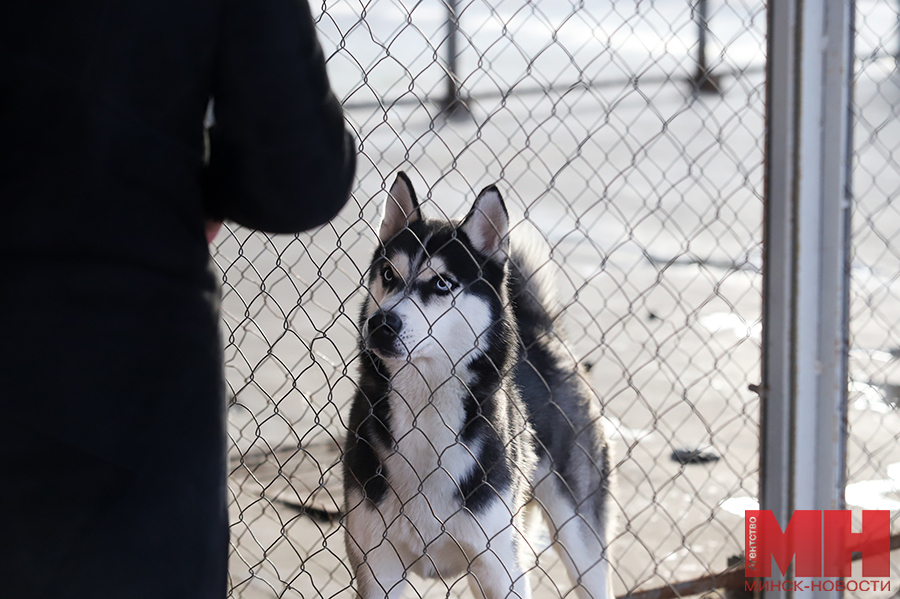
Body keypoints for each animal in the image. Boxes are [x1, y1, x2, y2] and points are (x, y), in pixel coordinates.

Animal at [342, 172, 612, 599]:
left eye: (441, 284)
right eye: (388, 275)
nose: (381, 323)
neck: (426, 409)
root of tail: (540, 332)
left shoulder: (500, 570)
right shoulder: (378, 567)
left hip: (581, 544)